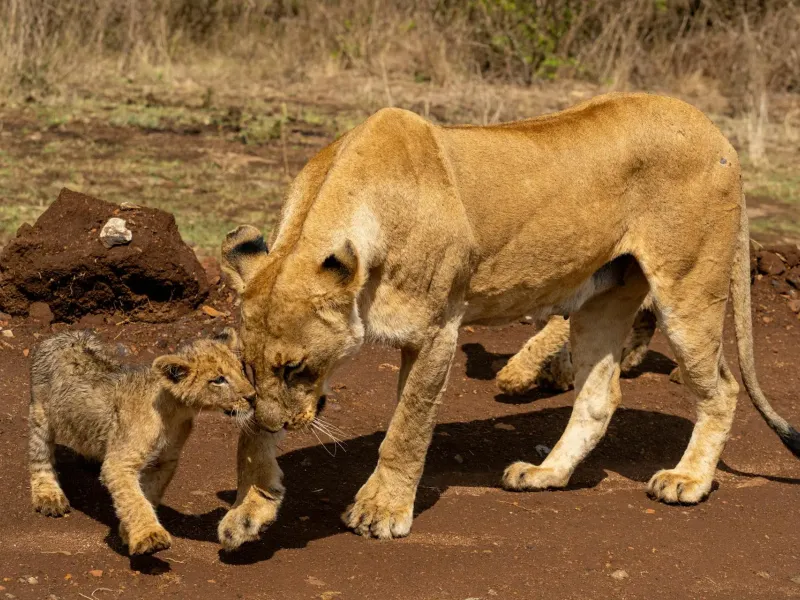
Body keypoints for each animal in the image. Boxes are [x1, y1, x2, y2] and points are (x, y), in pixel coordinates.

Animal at [29, 329, 264, 555]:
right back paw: (48, 496)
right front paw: (149, 536)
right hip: (41, 414)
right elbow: (134, 499)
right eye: (218, 379)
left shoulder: (165, 461)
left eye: (242, 370)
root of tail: (60, 335)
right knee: (40, 456)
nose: (253, 397)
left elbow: (149, 494)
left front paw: (127, 531)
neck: (174, 413)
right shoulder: (120, 463)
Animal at [217, 92, 800, 546]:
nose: (279, 423)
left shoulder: (437, 330)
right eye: (247, 369)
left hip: (689, 287)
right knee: (599, 396)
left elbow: (407, 427)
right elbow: (250, 436)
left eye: (297, 369)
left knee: (722, 387)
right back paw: (545, 473)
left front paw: (381, 511)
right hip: (602, 300)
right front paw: (251, 507)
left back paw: (687, 480)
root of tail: (714, 130)